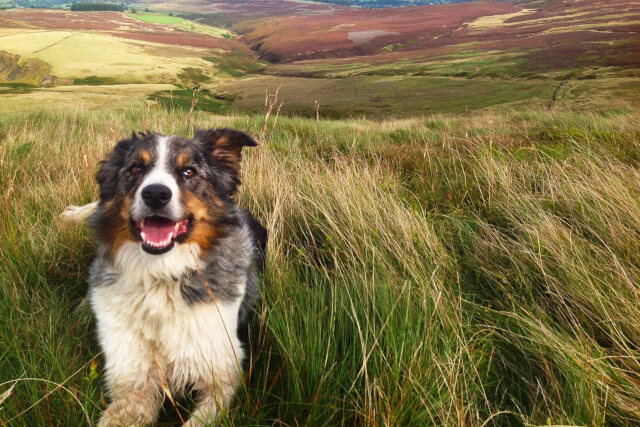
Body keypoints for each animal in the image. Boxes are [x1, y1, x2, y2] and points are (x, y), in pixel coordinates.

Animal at [63, 130, 268, 427]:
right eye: (135, 169)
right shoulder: (133, 379)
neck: (161, 275)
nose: (156, 194)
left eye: (189, 171)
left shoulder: (222, 372)